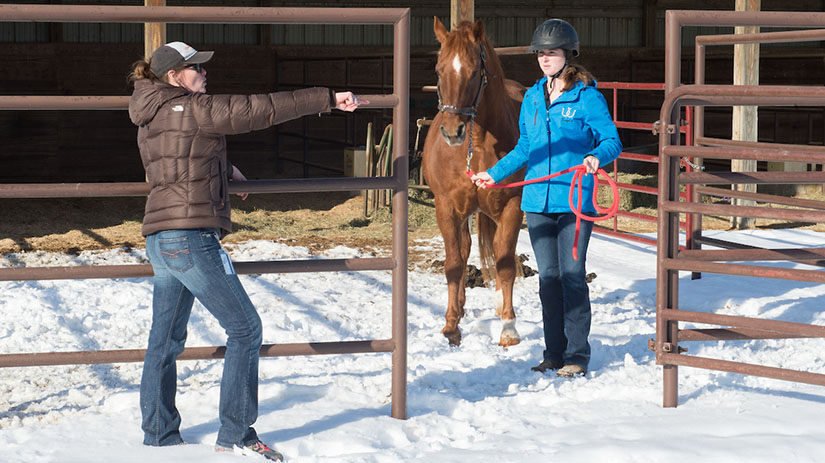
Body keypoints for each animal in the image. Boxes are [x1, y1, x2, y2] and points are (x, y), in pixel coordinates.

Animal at [422, 18, 524, 346]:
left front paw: (508, 327)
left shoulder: (512, 206)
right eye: (438, 70)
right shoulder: (446, 208)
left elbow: (506, 264)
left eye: (474, 71)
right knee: (466, 250)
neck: (477, 144)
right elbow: (454, 264)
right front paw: (451, 326)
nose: (452, 131)